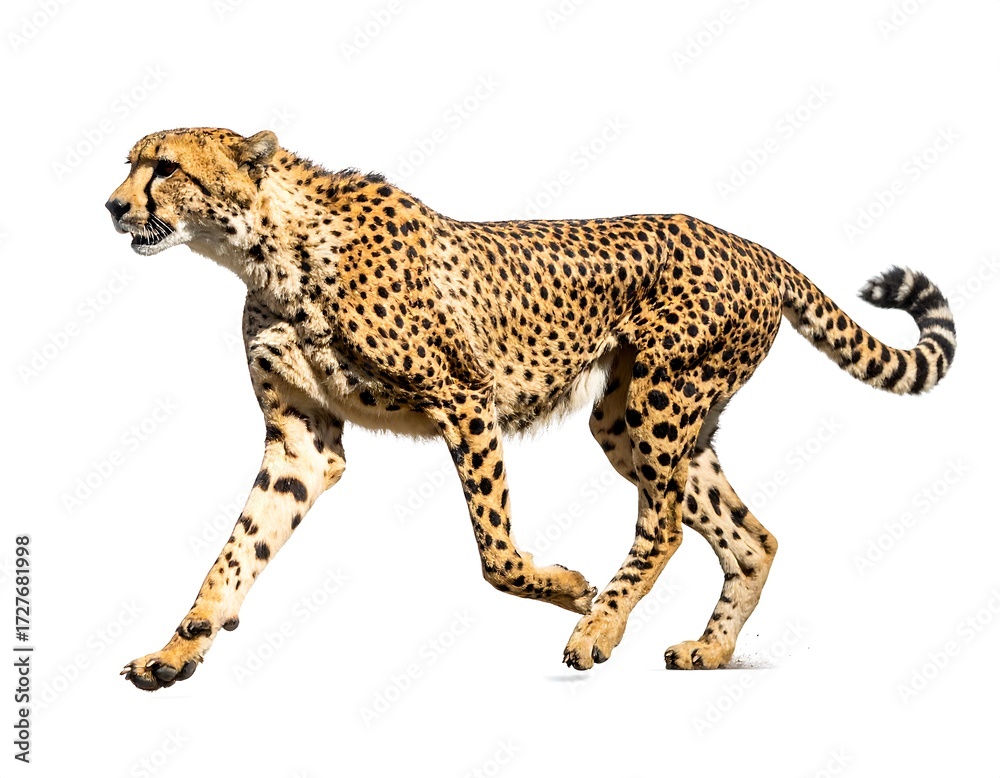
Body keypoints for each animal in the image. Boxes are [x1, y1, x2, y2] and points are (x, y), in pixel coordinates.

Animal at [105, 127, 956, 690]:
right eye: (131, 165)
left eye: (165, 167)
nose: (112, 207)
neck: (267, 249)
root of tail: (751, 245)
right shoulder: (301, 445)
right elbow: (239, 549)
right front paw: (179, 647)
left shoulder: (463, 399)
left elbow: (494, 553)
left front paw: (570, 588)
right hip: (636, 419)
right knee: (750, 535)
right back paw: (708, 651)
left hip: (658, 400)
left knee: (666, 524)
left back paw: (600, 626)